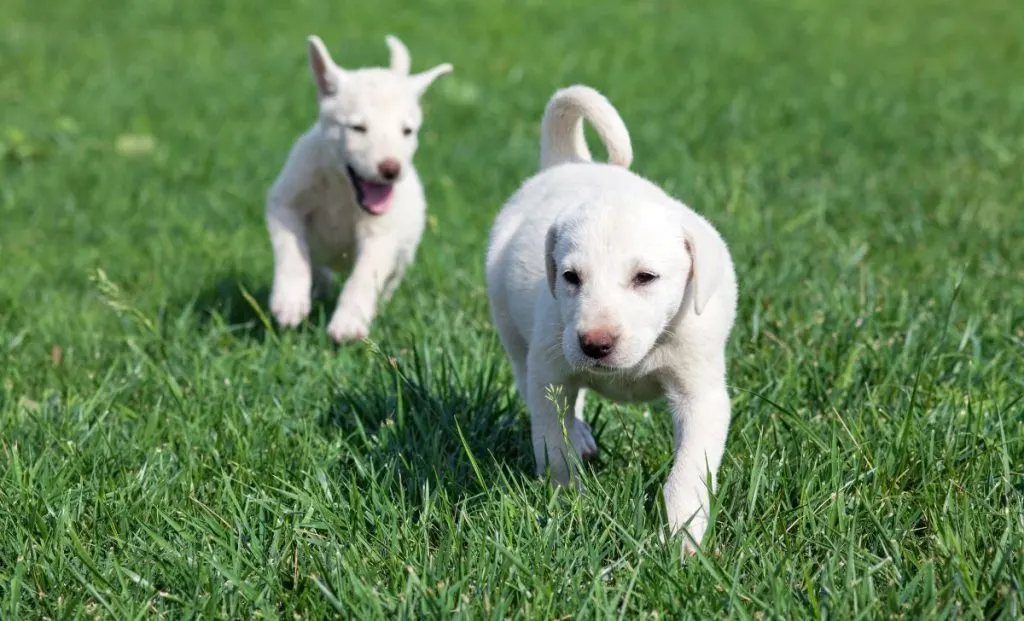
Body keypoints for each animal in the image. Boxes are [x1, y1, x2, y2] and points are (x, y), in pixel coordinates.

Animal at [266, 33, 450, 342]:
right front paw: (290, 302)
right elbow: (292, 252)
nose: (391, 169)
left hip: (404, 254)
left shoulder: (381, 234)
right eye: (358, 128)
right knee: (317, 264)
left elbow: (364, 276)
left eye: (407, 131)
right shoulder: (284, 206)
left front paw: (348, 323)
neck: (342, 189)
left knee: (387, 281)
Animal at [485, 85, 737, 557]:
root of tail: (570, 161)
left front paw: (682, 539)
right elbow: (554, 446)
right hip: (514, 334)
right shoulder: (550, 371)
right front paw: (570, 502)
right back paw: (581, 436)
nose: (594, 344)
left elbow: (689, 470)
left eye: (646, 277)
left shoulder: (701, 394)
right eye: (570, 277)